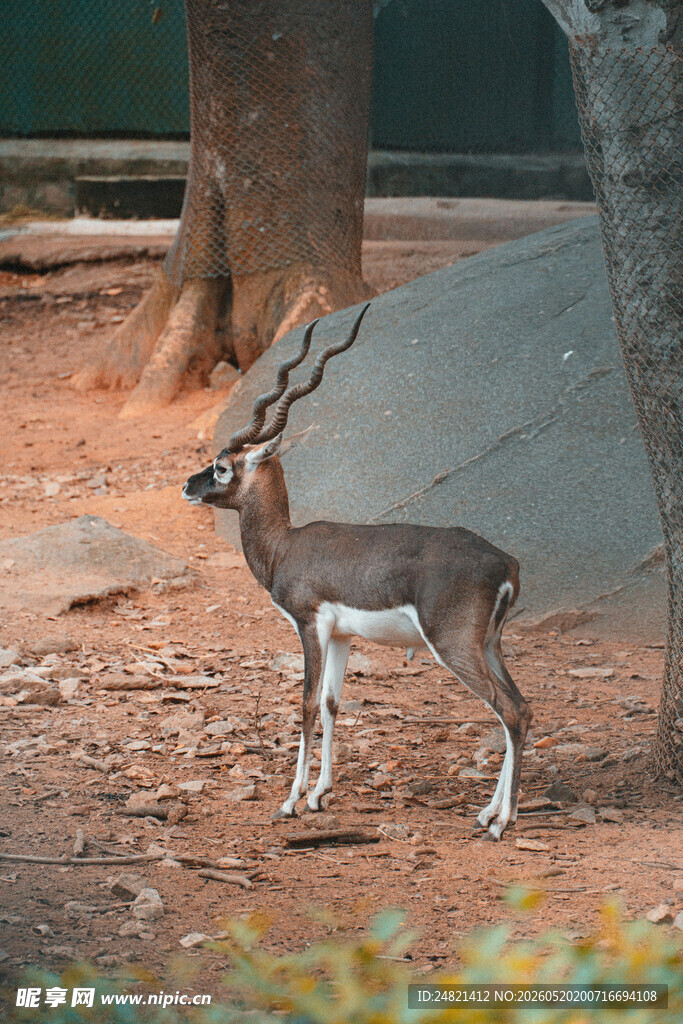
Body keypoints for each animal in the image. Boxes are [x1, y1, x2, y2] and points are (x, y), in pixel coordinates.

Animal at [182, 303, 532, 839]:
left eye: (222, 467)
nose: (188, 485)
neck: (286, 545)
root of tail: (505, 562)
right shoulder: (343, 635)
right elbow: (332, 702)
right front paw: (320, 795)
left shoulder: (309, 625)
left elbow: (306, 703)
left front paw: (290, 801)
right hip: (489, 644)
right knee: (521, 706)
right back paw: (488, 812)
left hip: (453, 646)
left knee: (508, 710)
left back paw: (501, 822)